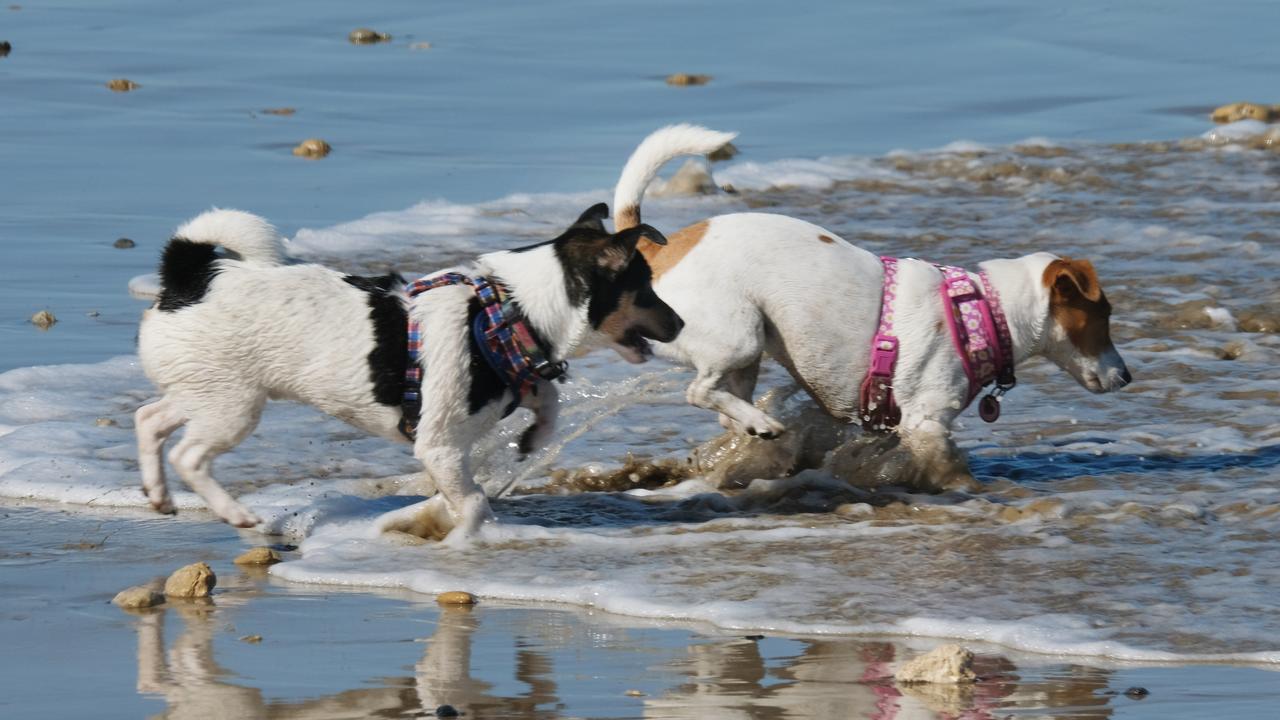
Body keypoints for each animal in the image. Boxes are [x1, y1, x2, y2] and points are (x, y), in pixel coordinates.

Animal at [135, 202, 686, 532]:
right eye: (645, 288)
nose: (681, 322)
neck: (508, 310)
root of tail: (188, 278)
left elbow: (546, 399)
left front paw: (534, 438)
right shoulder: (438, 448)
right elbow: (473, 502)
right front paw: (469, 538)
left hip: (203, 392)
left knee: (149, 420)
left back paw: (158, 494)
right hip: (232, 406)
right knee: (189, 456)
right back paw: (236, 513)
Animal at [619, 124, 1131, 486]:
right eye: (1102, 316)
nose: (1127, 377)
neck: (985, 312)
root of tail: (658, 250)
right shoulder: (927, 424)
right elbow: (951, 472)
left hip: (750, 351)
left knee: (724, 405)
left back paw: (753, 424)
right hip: (737, 337)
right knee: (699, 391)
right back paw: (759, 423)